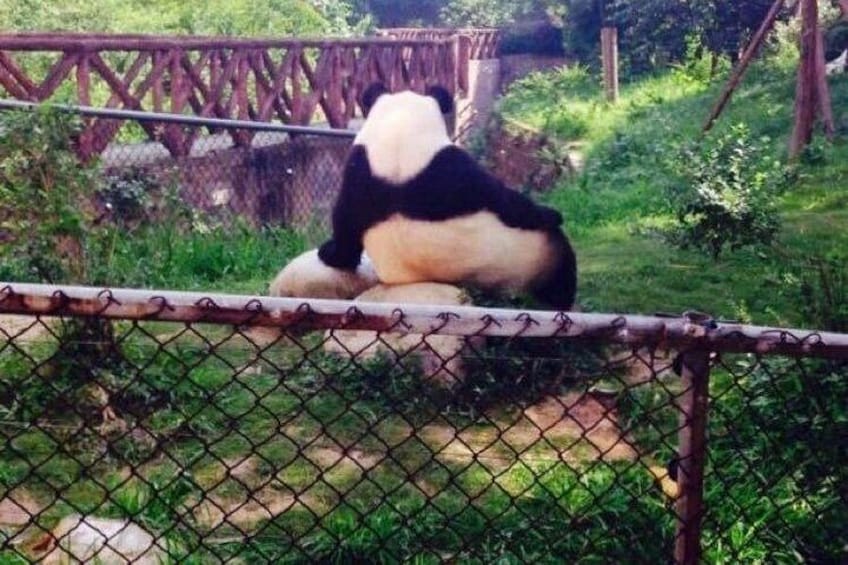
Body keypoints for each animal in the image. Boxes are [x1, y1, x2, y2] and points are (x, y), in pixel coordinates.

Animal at [317, 82, 577, 310]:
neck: (399, 132)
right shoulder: (456, 171)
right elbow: (512, 204)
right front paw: (553, 213)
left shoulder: (358, 174)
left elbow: (344, 226)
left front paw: (328, 252)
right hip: (533, 254)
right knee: (561, 262)